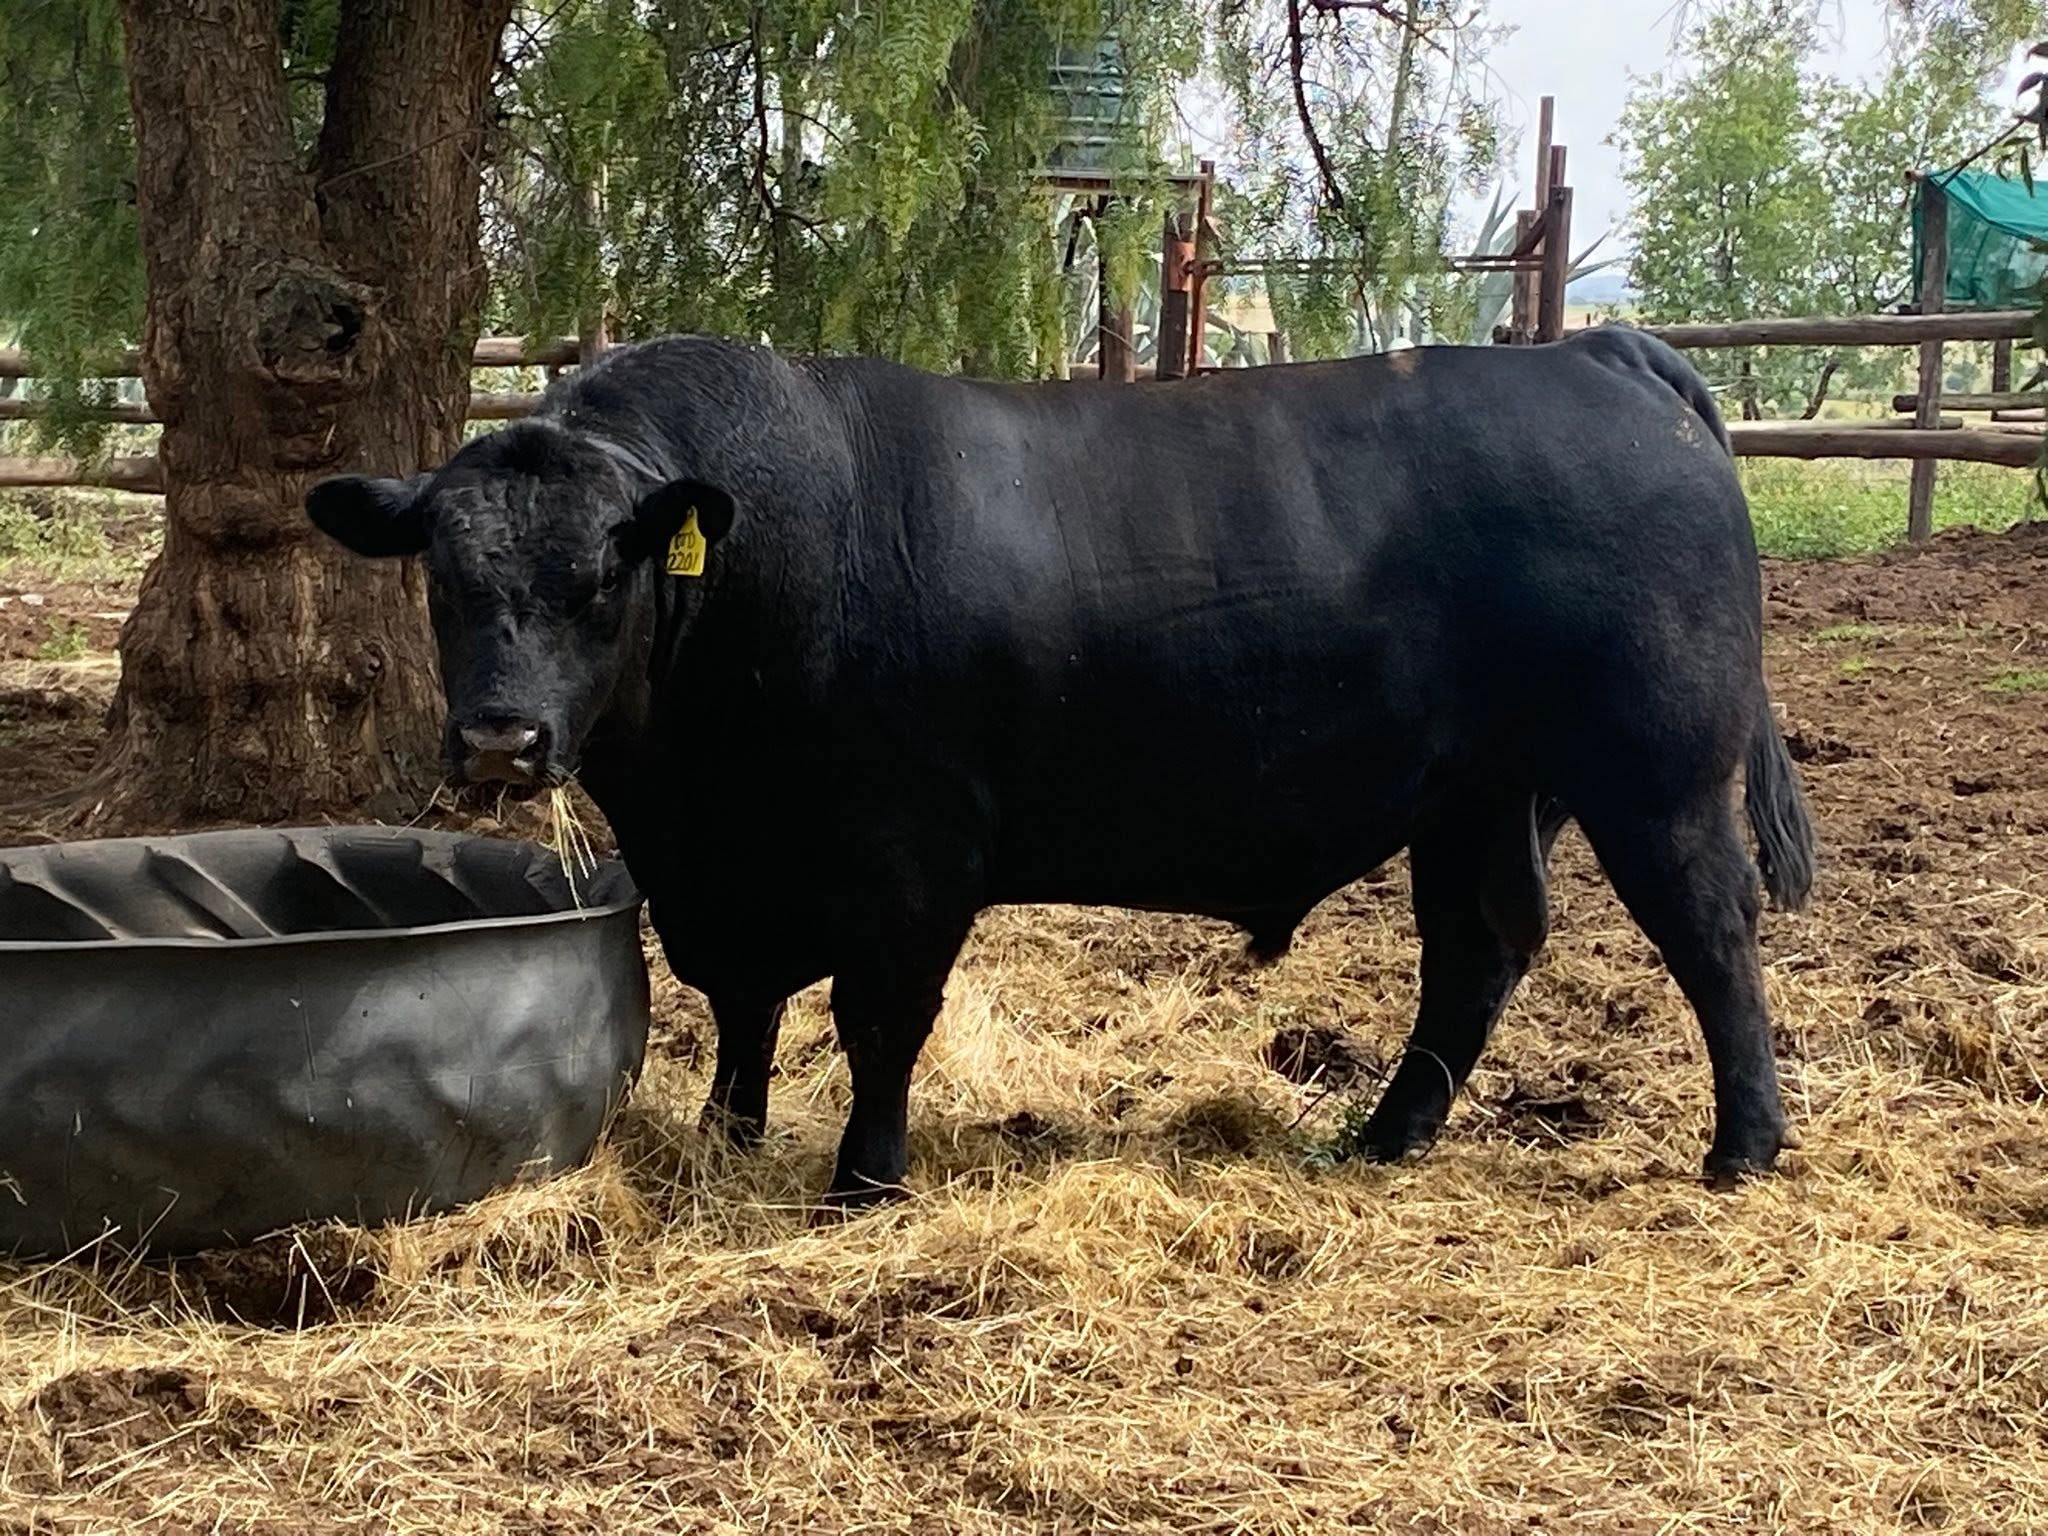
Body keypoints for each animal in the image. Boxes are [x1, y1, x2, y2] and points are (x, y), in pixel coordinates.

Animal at [307, 326, 1815, 1208]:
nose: (500, 740)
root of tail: (1600, 351)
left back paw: (1740, 1150)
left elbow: (876, 1022)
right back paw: (1383, 1141)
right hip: (1480, 795)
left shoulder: (909, 857)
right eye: (445, 576)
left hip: (1656, 775)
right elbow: (741, 1010)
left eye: (600, 578)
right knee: (1479, 949)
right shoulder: (728, 878)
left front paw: (865, 1183)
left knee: (1710, 935)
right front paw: (726, 1143)